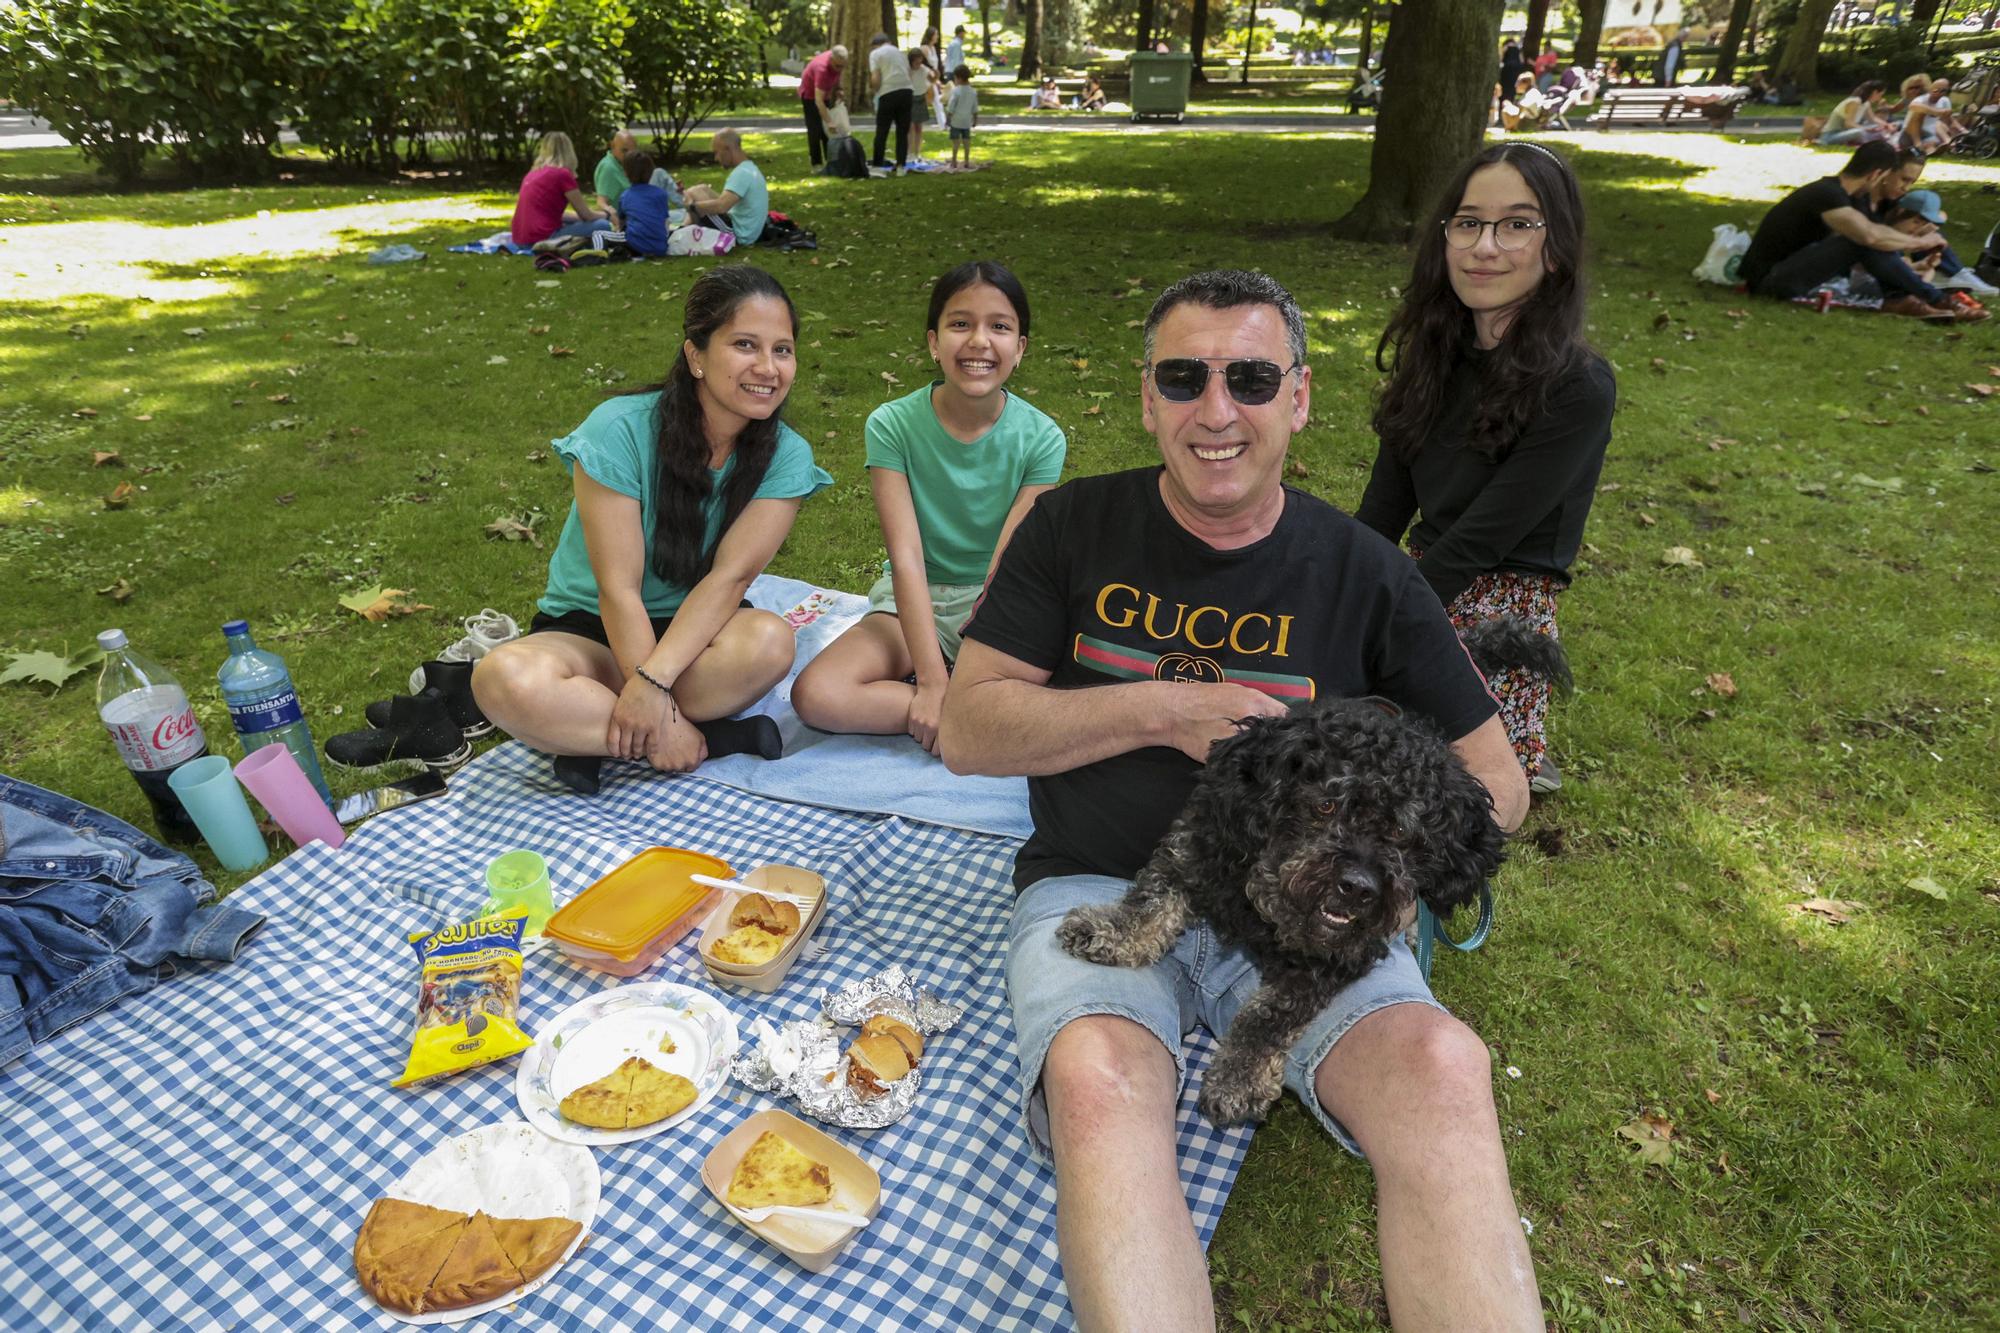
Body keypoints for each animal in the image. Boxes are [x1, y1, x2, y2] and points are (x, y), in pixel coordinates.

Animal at [1056, 612, 1568, 1120]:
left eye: (1404, 833)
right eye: (1325, 805)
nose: (1359, 887)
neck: (1269, 902)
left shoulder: (1338, 957)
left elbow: (1271, 1015)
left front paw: (1239, 1076)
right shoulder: (1201, 842)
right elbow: (1154, 895)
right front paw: (1113, 932)